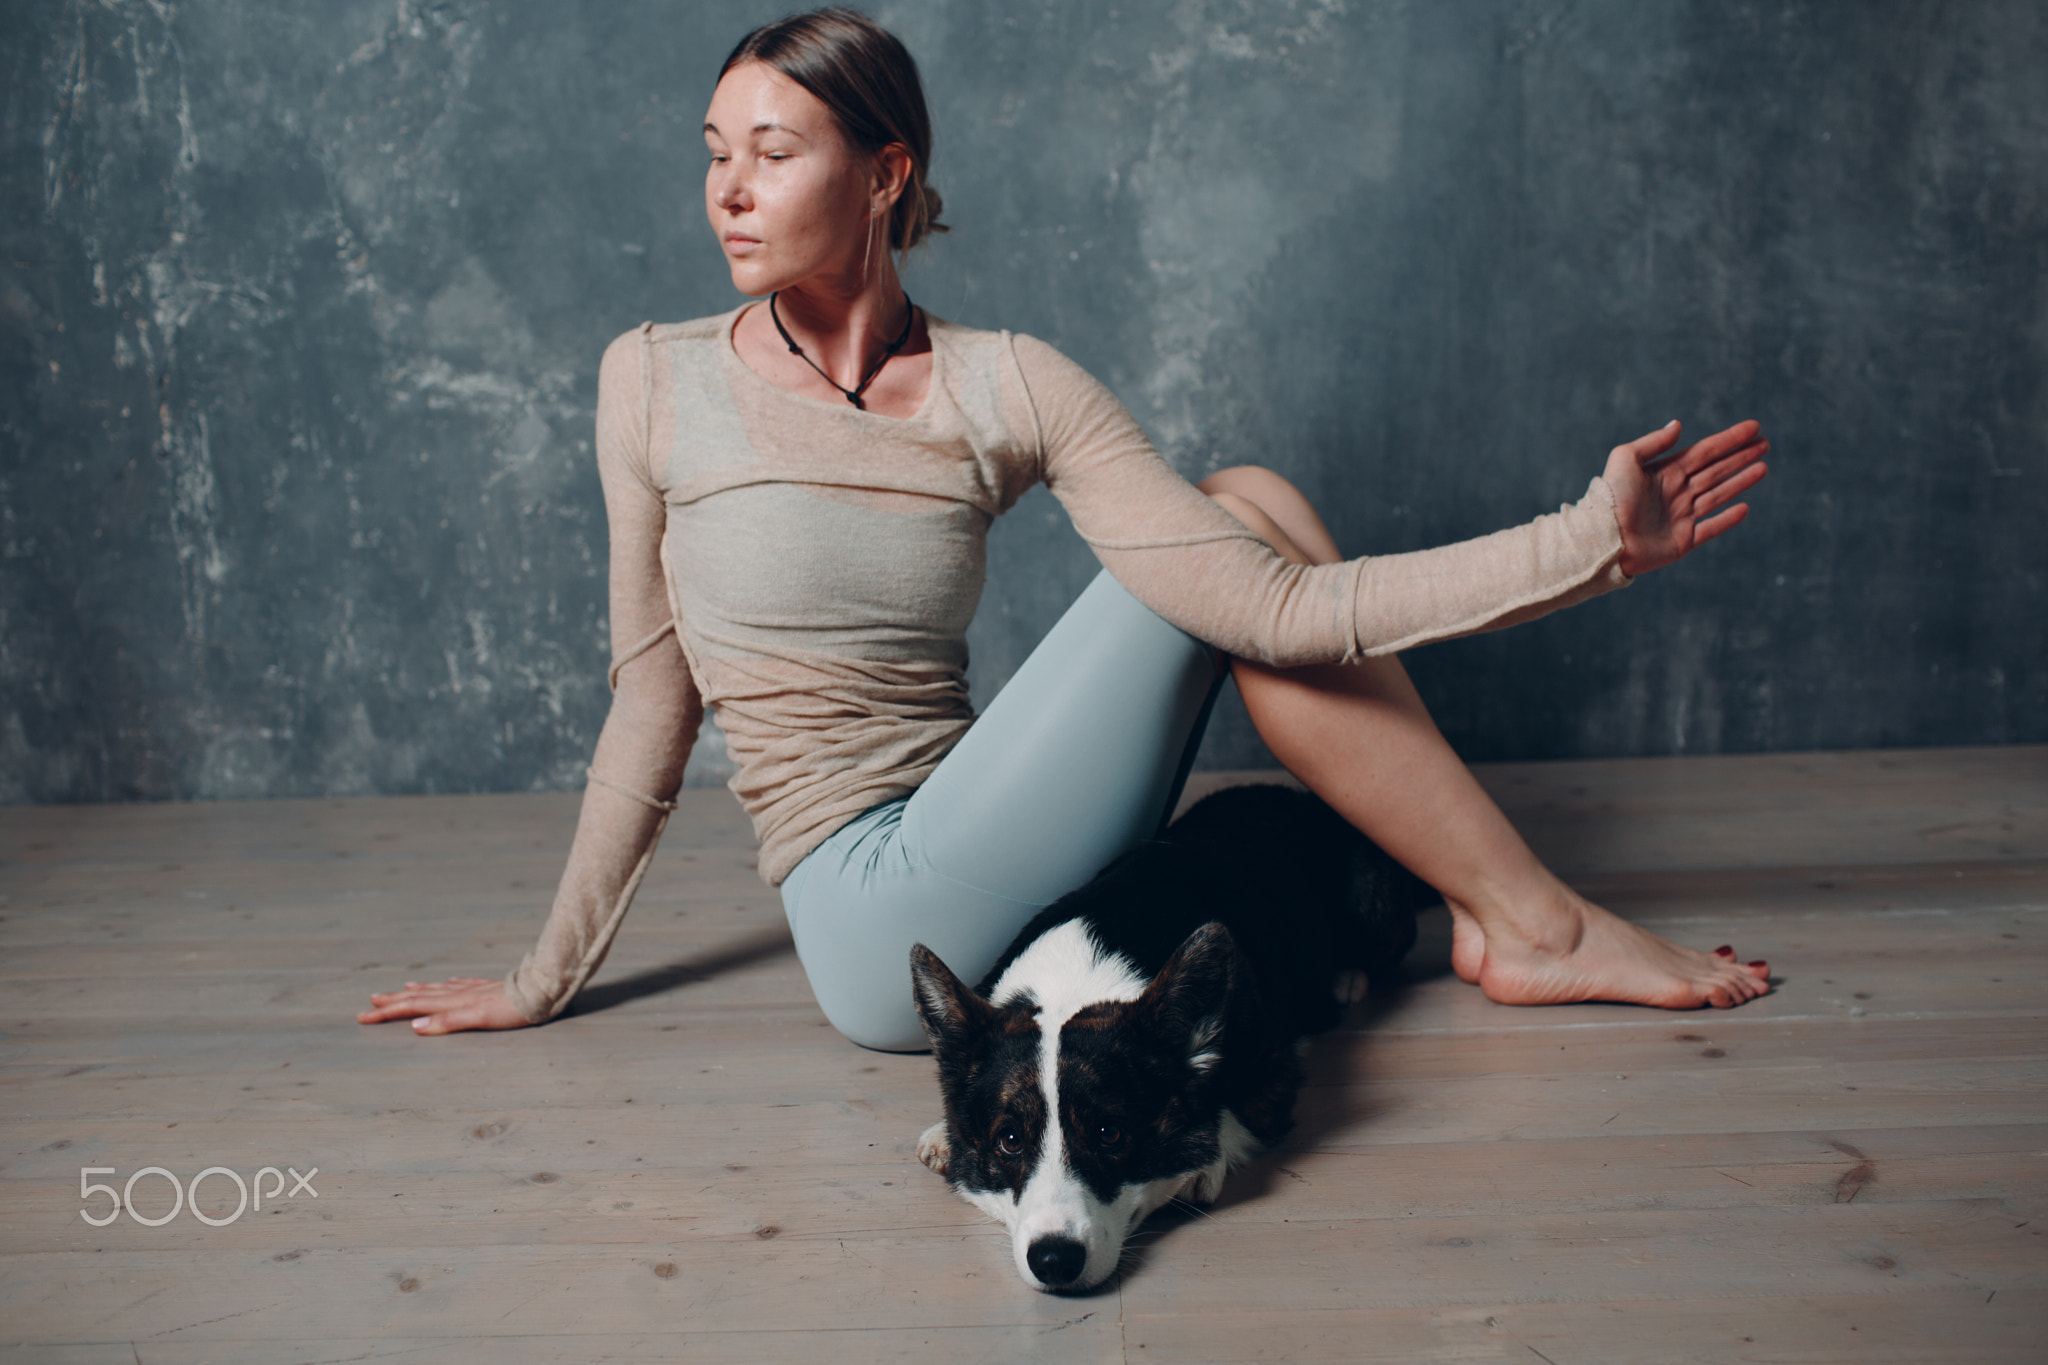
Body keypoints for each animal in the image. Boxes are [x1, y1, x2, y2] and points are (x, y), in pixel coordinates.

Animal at [913, 785, 1425, 1301]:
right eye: (1010, 1140)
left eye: (1110, 1133)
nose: (1055, 1262)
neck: (1071, 986)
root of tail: (1301, 797)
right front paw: (943, 1133)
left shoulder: (1272, 1071)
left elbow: (1230, 1112)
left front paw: (1203, 1162)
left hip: (1375, 908)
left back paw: (1348, 980)